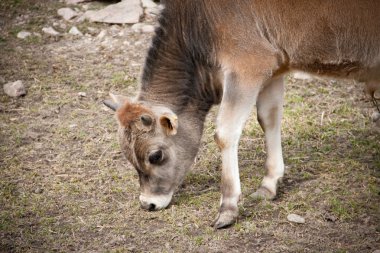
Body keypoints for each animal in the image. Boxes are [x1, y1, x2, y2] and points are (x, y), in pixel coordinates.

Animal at [104, 0, 380, 229]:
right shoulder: (273, 68)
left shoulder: (247, 65)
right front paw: (269, 184)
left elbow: (225, 133)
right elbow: (268, 118)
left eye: (156, 155)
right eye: (128, 156)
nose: (147, 204)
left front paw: (228, 208)